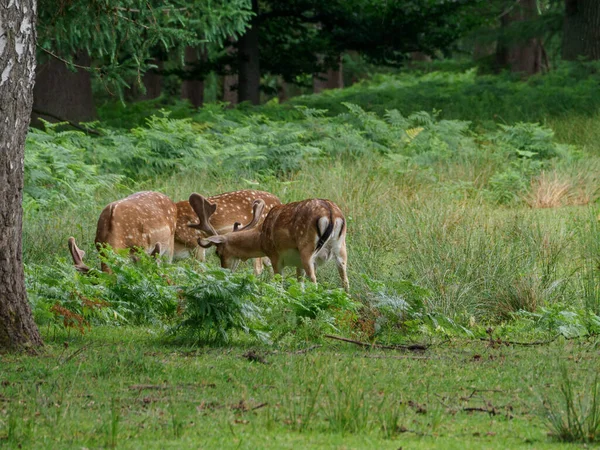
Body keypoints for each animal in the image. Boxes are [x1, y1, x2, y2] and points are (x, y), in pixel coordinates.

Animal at [197, 199, 350, 290]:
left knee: (313, 279)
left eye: (218, 253)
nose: (224, 271)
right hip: (341, 248)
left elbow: (278, 283)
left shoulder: (275, 256)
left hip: (307, 249)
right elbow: (299, 283)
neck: (261, 239)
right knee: (345, 280)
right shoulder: (297, 263)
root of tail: (331, 214)